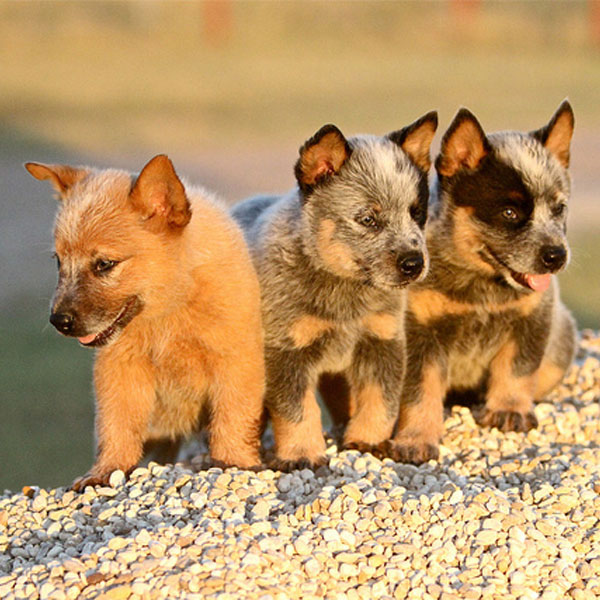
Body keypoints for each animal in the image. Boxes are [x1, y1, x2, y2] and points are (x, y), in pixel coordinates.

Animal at [25, 154, 264, 488]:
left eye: (105, 264)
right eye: (59, 261)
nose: (59, 321)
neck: (169, 312)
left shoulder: (236, 360)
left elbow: (234, 416)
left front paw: (235, 462)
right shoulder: (119, 367)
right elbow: (117, 424)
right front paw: (105, 471)